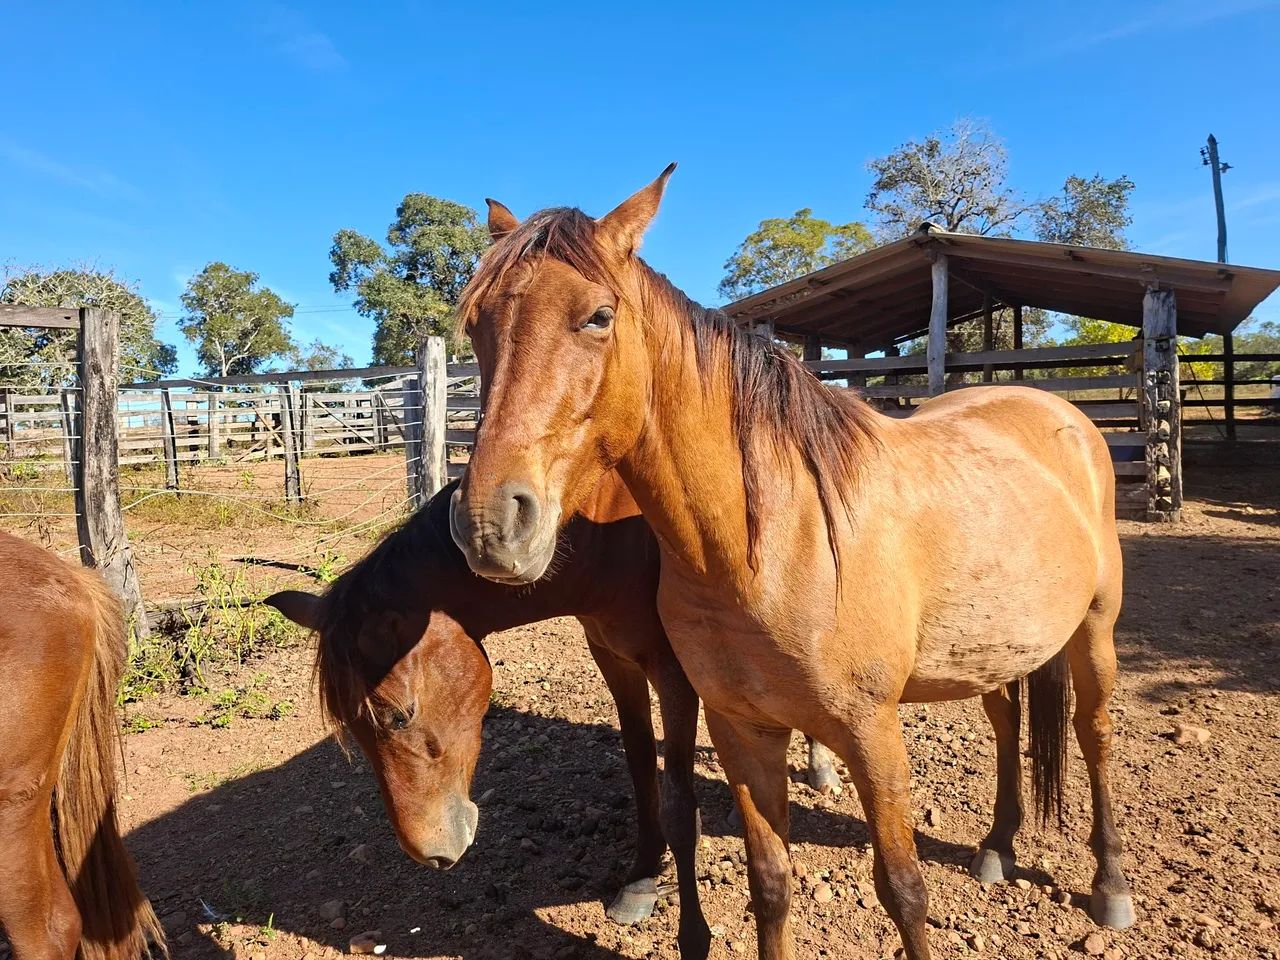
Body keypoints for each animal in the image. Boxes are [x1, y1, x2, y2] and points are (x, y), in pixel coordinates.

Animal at [448, 168, 1134, 960]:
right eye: (475, 324)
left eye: (597, 316)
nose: (489, 524)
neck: (772, 542)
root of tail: (1061, 412)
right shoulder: (742, 730)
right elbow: (770, 884)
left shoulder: (873, 735)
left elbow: (905, 891)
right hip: (993, 646)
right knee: (1004, 718)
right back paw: (996, 846)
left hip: (1094, 630)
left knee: (1095, 734)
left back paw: (1111, 886)